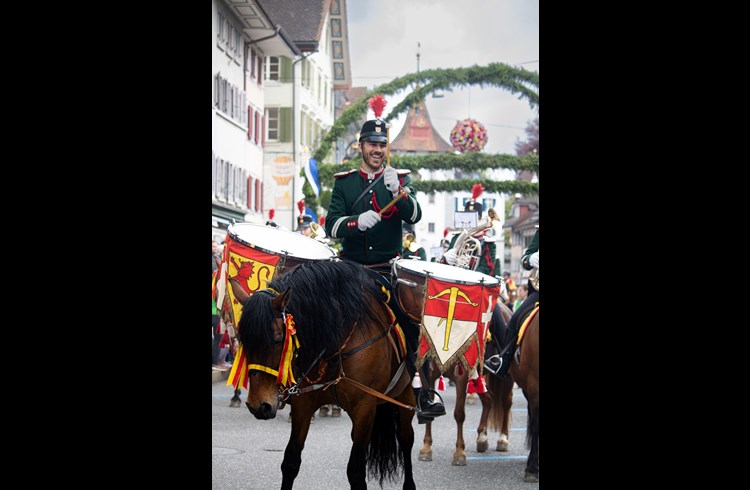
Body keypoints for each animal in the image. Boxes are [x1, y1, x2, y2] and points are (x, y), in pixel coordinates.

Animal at [239, 262, 418, 490]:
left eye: (278, 339)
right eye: (243, 340)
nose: (258, 406)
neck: (335, 347)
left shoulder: (365, 407)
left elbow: (356, 473)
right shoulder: (304, 404)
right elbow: (290, 462)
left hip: (404, 397)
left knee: (406, 438)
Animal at [394, 258, 516, 466]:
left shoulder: (461, 376)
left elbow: (459, 414)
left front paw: (459, 452)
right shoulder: (430, 373)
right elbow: (429, 406)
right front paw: (426, 448)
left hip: (504, 376)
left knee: (506, 403)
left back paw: (502, 439)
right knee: (489, 400)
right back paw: (482, 438)